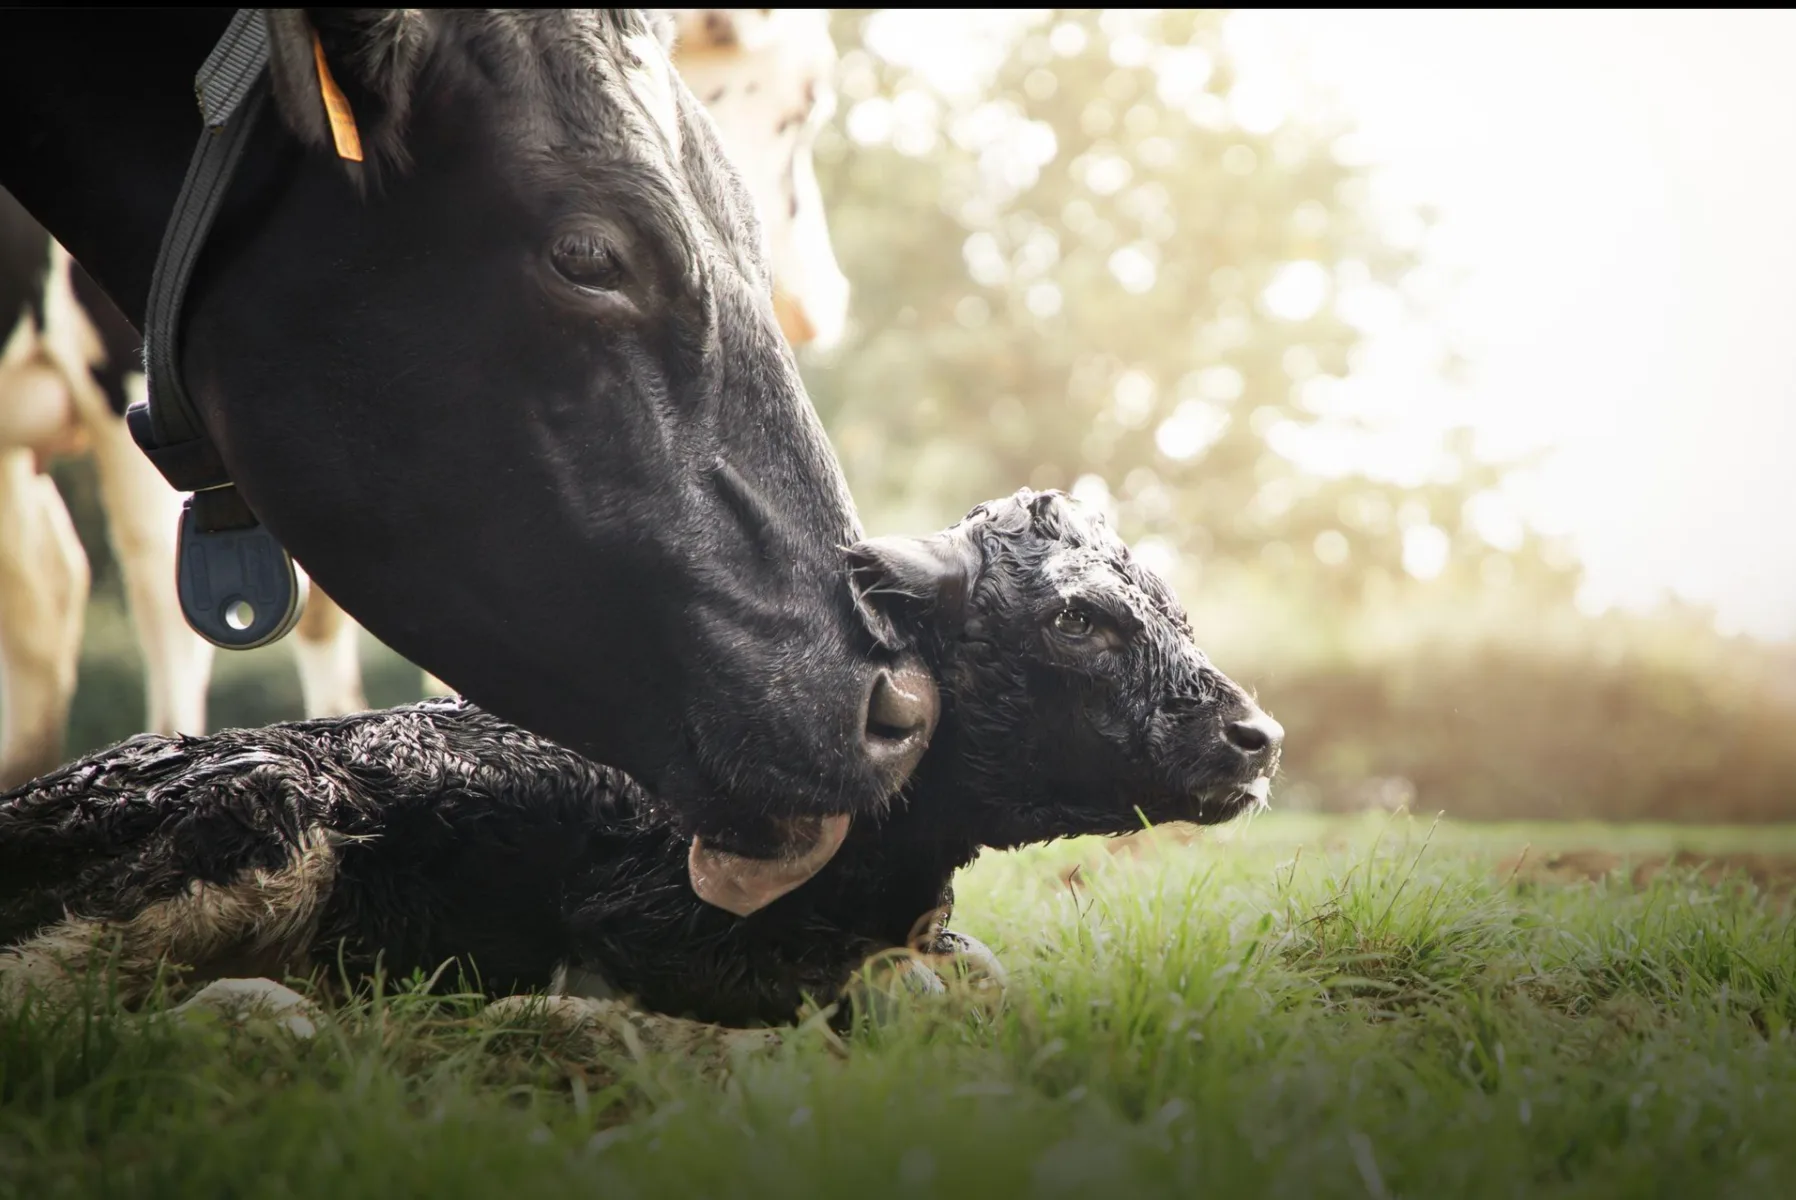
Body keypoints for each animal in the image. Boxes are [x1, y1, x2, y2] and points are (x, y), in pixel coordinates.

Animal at [0, 490, 1285, 1030]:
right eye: (1077, 619)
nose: (1258, 736)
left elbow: (976, 974)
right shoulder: (647, 921)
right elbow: (892, 987)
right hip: (257, 813)